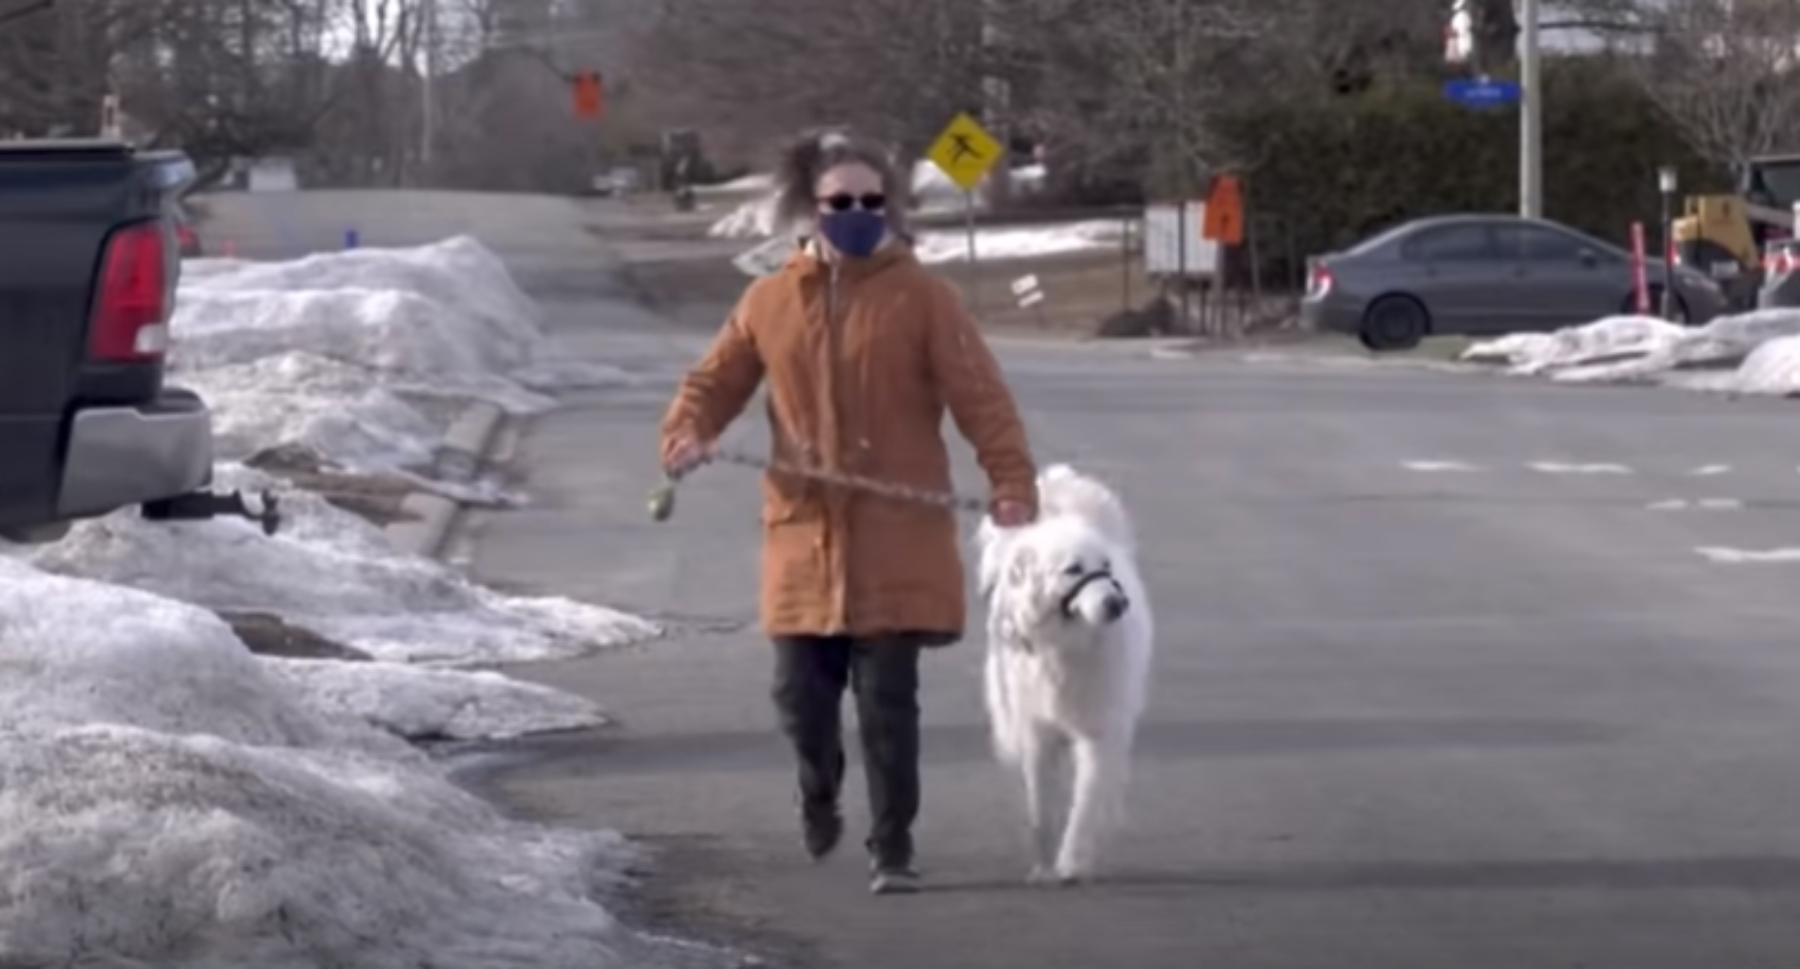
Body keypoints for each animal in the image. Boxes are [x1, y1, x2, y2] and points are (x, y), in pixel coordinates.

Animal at [979, 461, 1144, 882]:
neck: (1065, 646)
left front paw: (1071, 862)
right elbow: (1041, 808)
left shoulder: (1099, 733)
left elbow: (1084, 807)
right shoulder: (1037, 733)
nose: (1118, 604)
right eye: (1073, 570)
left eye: (1106, 567)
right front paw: (1043, 868)